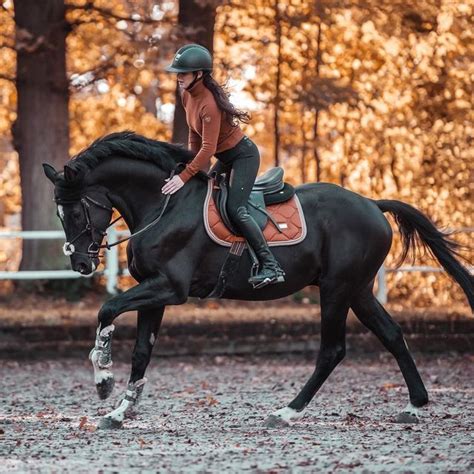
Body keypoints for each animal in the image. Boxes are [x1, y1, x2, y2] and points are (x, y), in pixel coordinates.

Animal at [42, 131, 472, 430]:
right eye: (60, 214)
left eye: (76, 212)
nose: (81, 263)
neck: (164, 204)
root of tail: (371, 204)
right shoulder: (156, 291)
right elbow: (141, 351)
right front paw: (120, 410)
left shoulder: (170, 288)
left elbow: (107, 309)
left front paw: (103, 379)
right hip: (359, 290)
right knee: (392, 335)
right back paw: (413, 405)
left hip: (336, 290)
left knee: (332, 350)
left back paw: (286, 412)